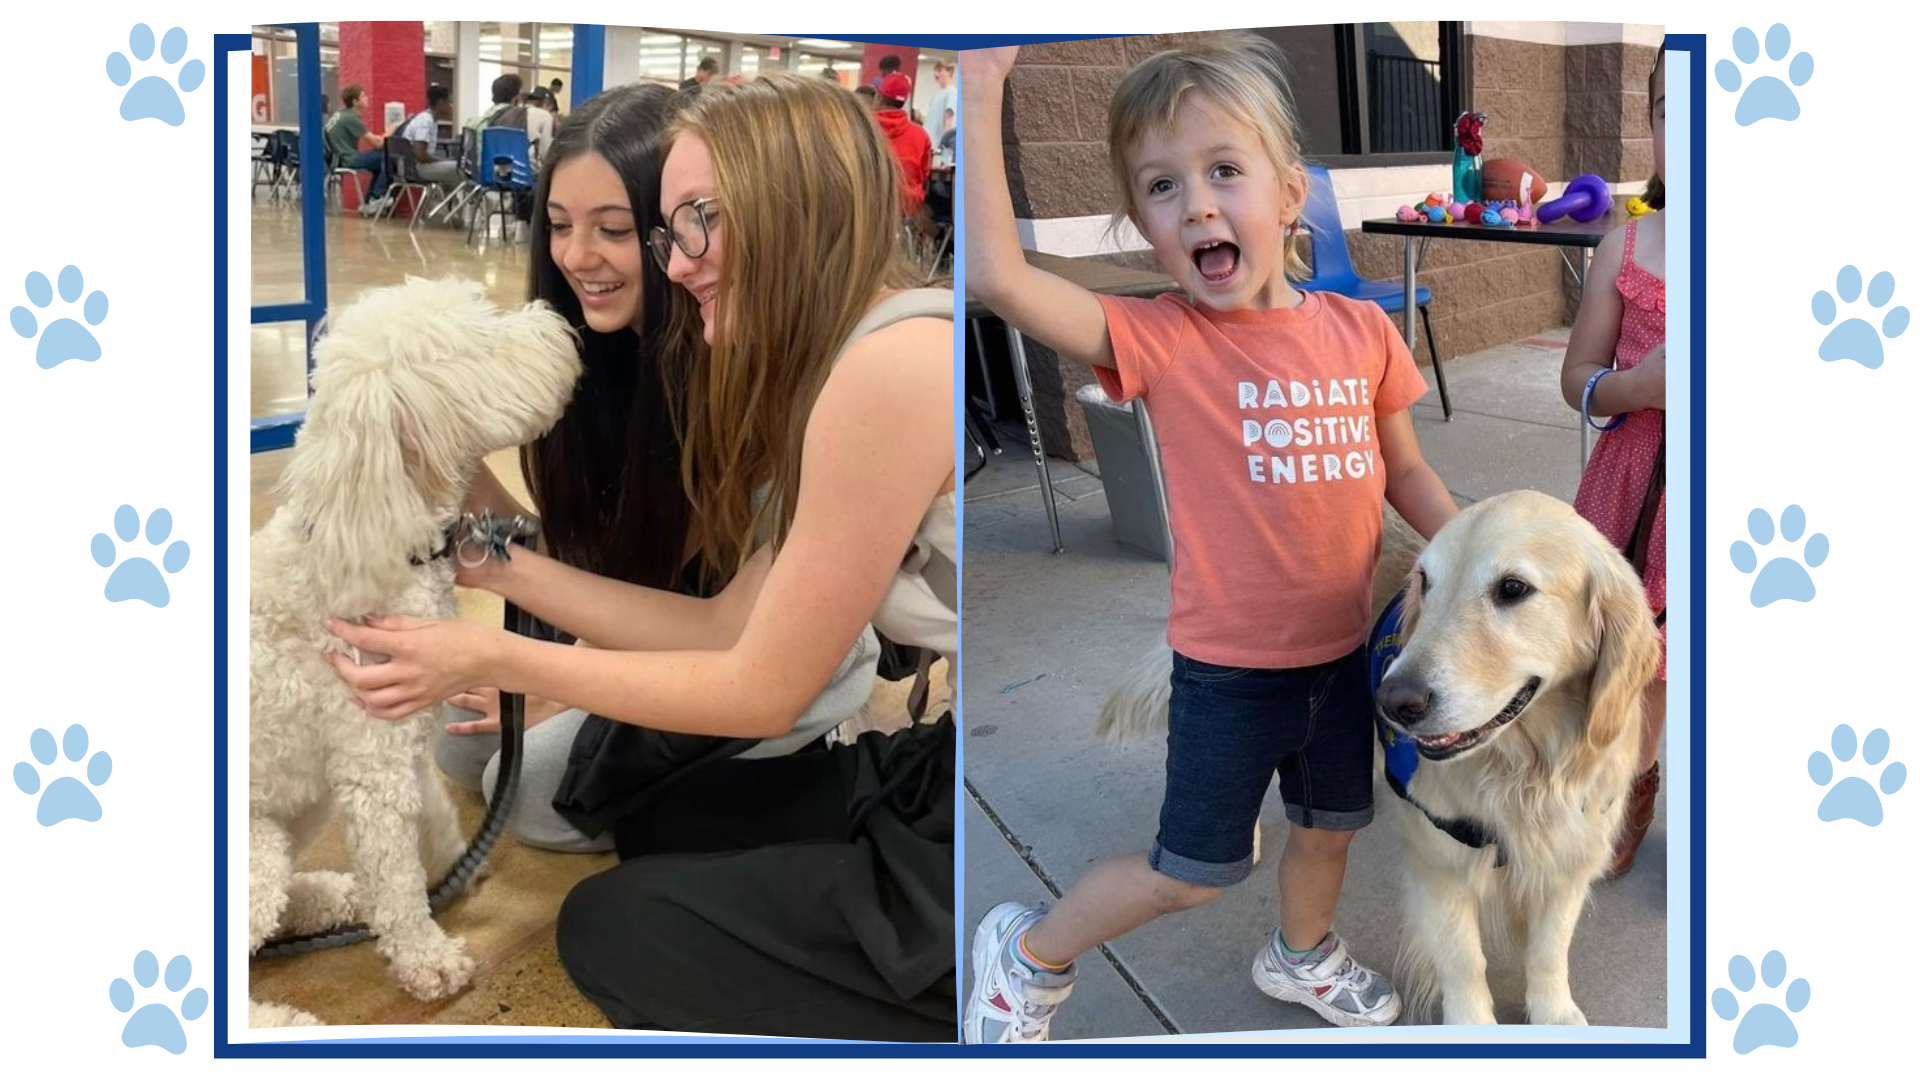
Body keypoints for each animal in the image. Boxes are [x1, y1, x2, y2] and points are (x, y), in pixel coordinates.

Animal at [247, 276, 579, 1022]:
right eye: (480, 342)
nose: (559, 322)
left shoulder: (402, 743)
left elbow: (427, 816)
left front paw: (451, 865)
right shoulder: (374, 765)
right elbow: (396, 882)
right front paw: (428, 958)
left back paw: (328, 898)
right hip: (253, 854)